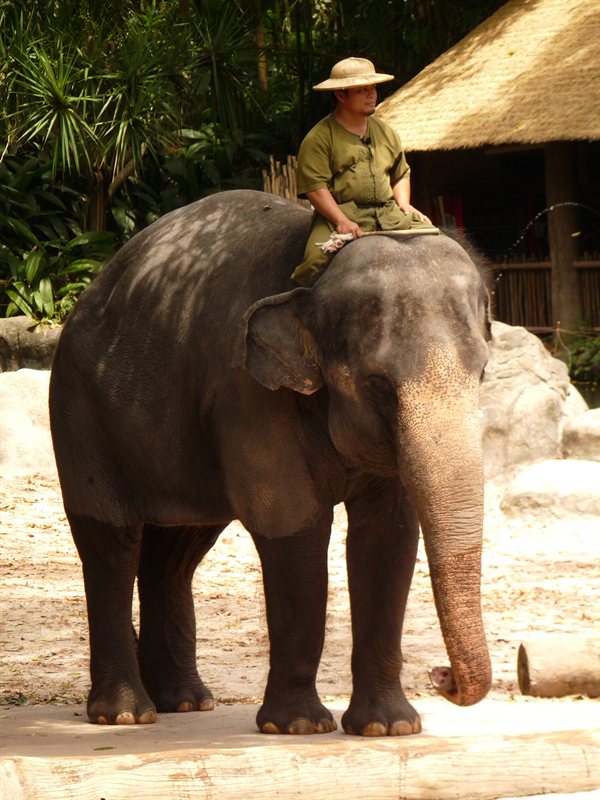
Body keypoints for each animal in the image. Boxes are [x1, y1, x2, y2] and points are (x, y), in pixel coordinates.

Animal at [49, 189, 492, 737]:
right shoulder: (247, 395)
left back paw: (185, 702)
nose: (441, 676)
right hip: (78, 413)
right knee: (109, 545)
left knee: (175, 550)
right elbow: (294, 528)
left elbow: (387, 536)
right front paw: (298, 727)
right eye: (379, 386)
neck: (313, 281)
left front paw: (388, 728)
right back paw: (126, 714)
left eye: (482, 373)